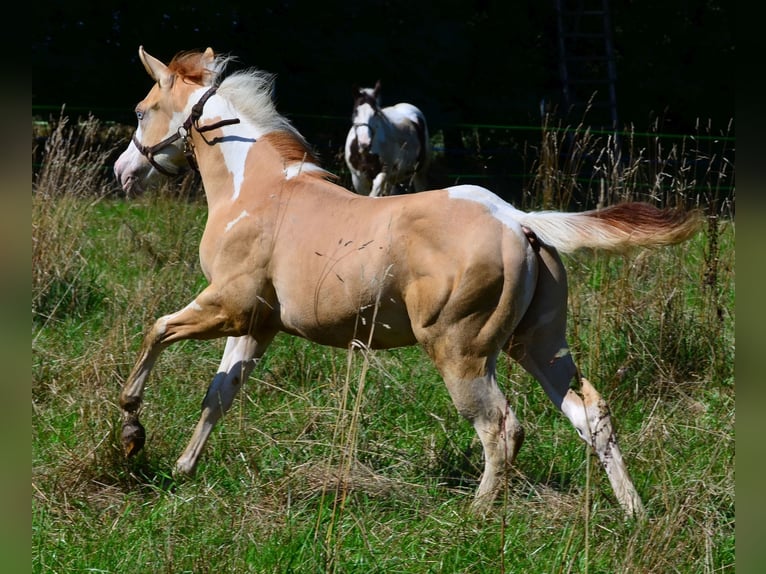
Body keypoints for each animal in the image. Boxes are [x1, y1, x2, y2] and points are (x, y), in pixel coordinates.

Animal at [114, 46, 702, 517]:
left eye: (142, 111)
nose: (123, 172)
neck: (256, 191)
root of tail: (518, 219)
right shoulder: (258, 324)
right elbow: (220, 392)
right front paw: (183, 469)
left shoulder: (228, 305)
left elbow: (157, 329)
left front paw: (131, 428)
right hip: (537, 344)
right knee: (590, 413)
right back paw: (634, 512)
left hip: (462, 352)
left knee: (501, 427)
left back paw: (476, 515)